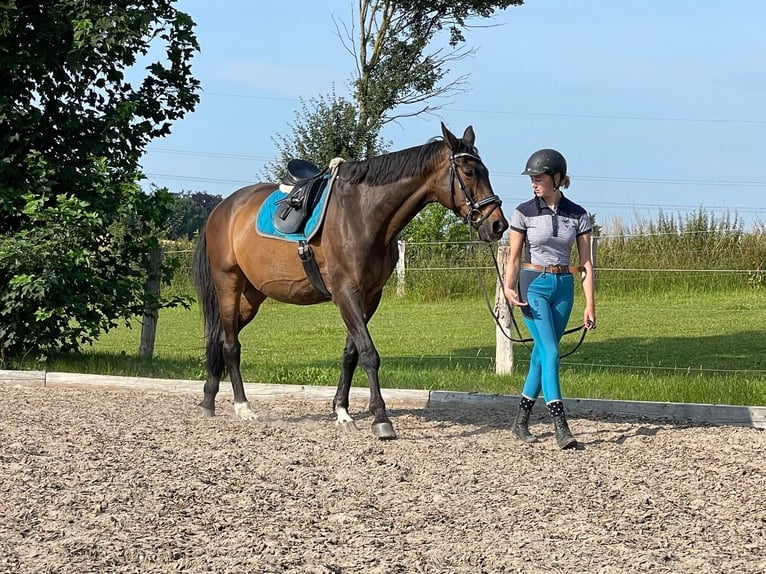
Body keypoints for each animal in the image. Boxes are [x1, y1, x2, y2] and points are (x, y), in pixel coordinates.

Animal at [194, 124, 510, 438]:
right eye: (469, 172)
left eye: (486, 171)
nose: (498, 225)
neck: (363, 215)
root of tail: (222, 209)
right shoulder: (347, 293)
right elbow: (369, 353)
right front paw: (381, 418)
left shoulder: (370, 296)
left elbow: (350, 354)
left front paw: (342, 411)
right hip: (228, 285)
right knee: (231, 345)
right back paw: (243, 408)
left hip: (252, 297)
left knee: (220, 338)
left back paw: (208, 400)